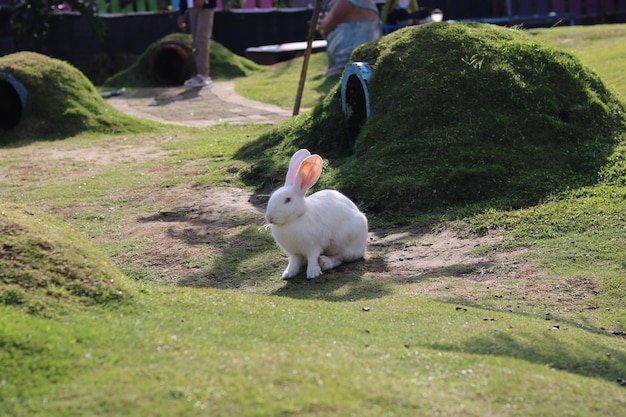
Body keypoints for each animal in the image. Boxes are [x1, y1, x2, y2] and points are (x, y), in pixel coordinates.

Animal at [264, 148, 366, 278]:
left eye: (287, 200)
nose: (269, 217)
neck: (296, 219)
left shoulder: (313, 246)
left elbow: (313, 258)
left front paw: (313, 273)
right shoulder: (293, 253)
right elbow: (293, 262)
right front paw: (288, 273)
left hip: (345, 243)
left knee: (340, 257)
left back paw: (325, 262)